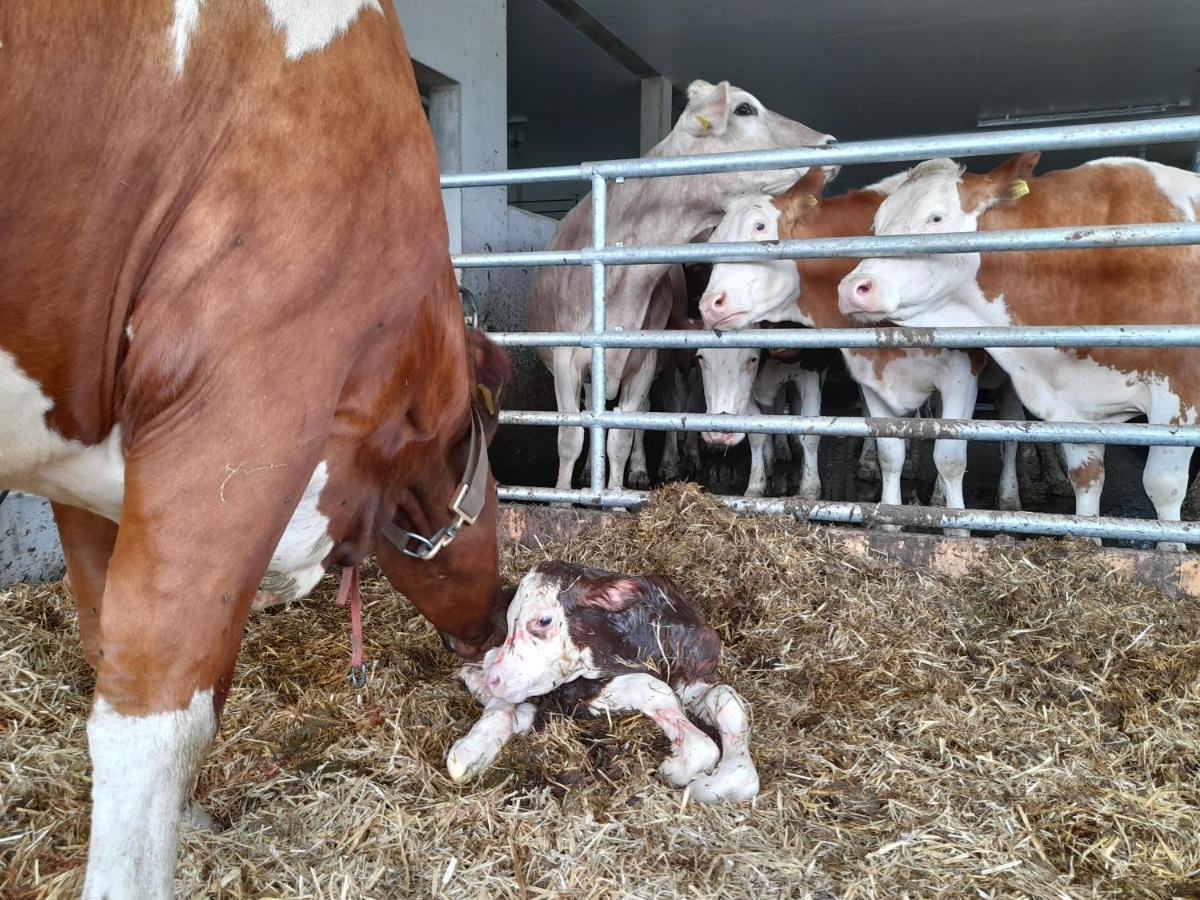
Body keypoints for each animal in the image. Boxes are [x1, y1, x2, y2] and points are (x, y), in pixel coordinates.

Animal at [0, 3, 508, 897]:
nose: (501, 610)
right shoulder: (242, 408)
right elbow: (161, 707)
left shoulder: (92, 475)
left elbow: (108, 641)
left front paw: (192, 818)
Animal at [446, 564, 753, 801]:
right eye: (511, 621)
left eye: (544, 620)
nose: (494, 678)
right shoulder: (575, 692)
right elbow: (649, 688)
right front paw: (684, 763)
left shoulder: (694, 673)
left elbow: (724, 696)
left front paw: (728, 780)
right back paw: (470, 751)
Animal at [530, 79, 830, 494]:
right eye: (744, 109)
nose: (829, 142)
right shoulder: (565, 358)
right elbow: (570, 436)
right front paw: (562, 495)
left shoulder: (644, 361)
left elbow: (622, 434)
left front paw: (616, 494)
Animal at [840, 154, 1200, 549]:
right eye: (876, 225)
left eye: (936, 218)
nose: (853, 288)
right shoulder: (1073, 403)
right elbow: (1087, 478)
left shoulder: (1179, 395)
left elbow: (1163, 486)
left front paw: (1170, 551)